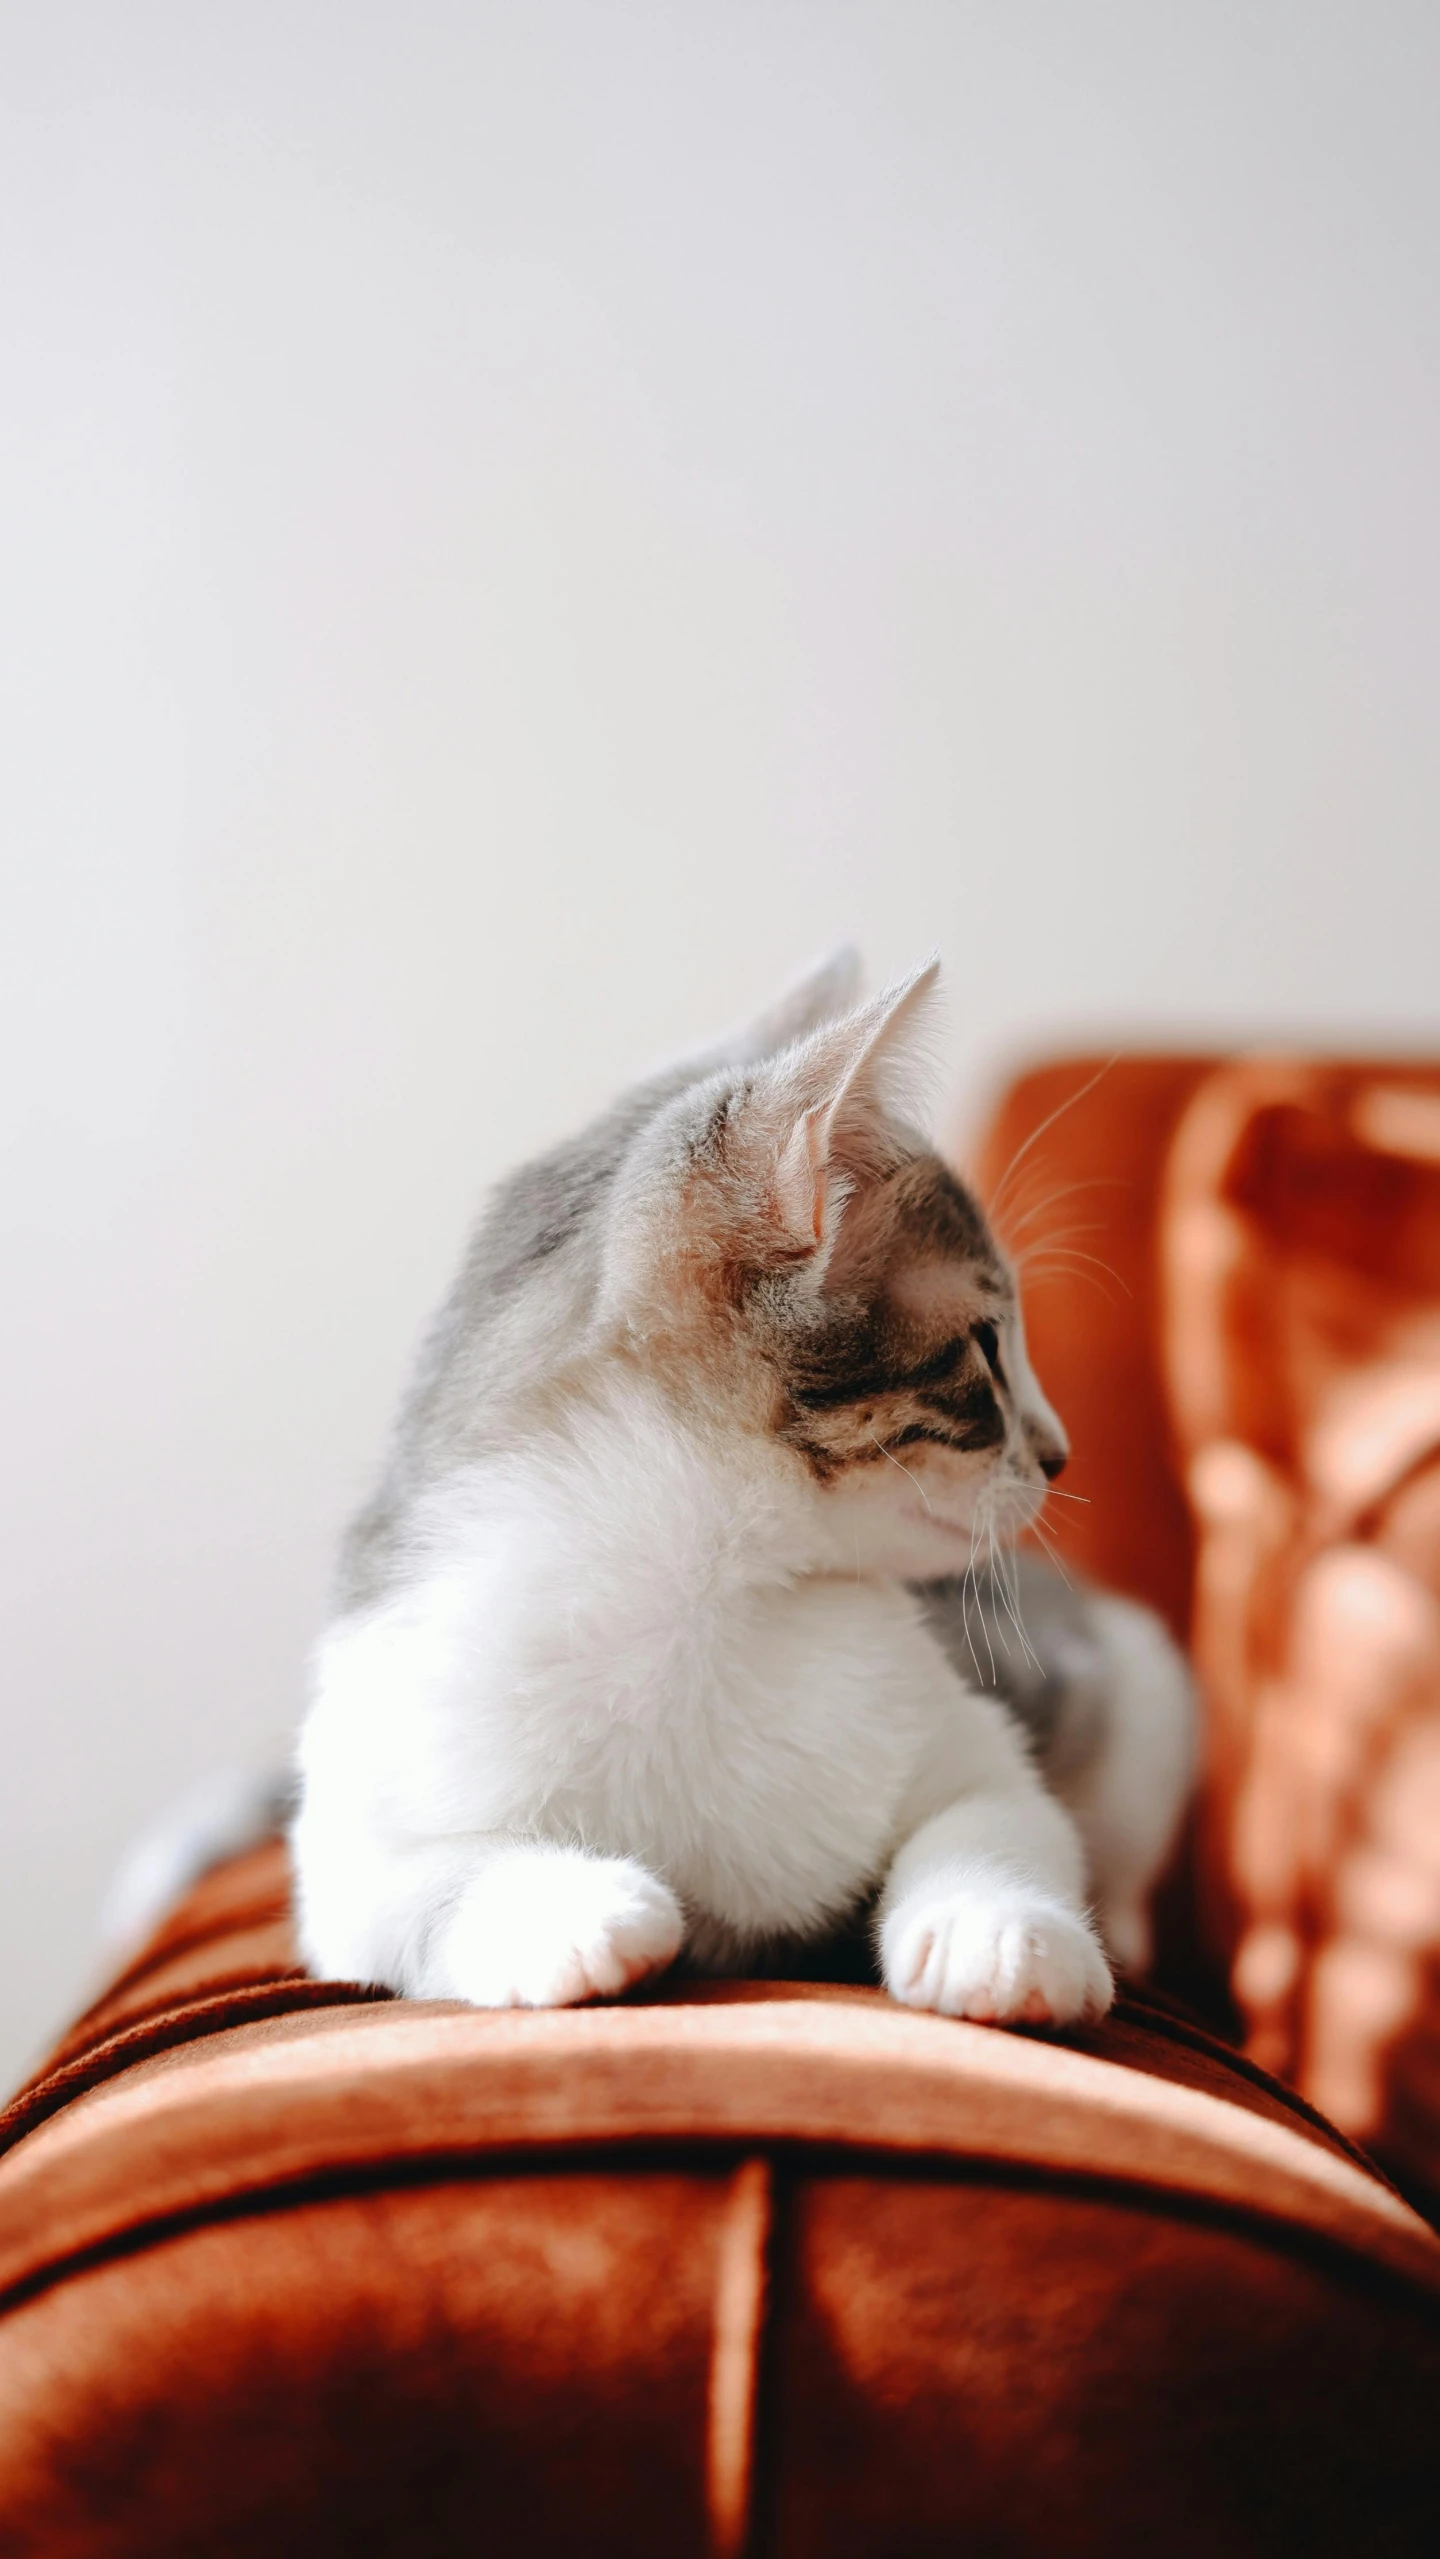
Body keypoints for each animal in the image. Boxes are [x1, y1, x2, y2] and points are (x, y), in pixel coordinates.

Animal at [290, 951, 1197, 2026]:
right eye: (985, 1346)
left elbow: (997, 1820)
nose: (1061, 1453)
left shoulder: (979, 1744)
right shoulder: (357, 1824)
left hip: (1138, 1688)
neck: (708, 1592)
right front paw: (576, 1917)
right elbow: (430, 1880)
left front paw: (999, 1935)